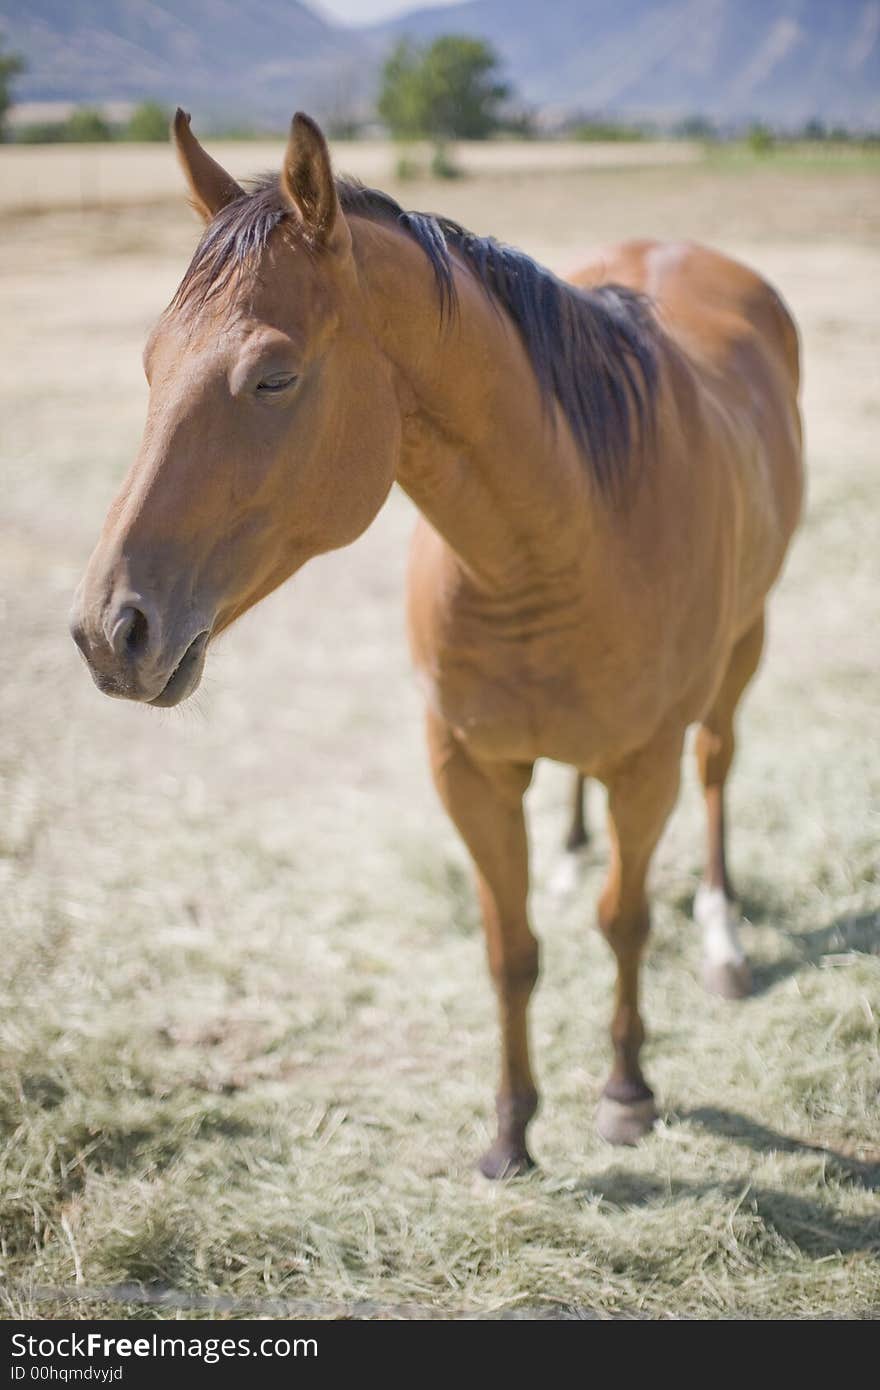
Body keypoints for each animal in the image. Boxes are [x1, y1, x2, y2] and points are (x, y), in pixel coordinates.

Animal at [70, 111, 800, 1173]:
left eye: (274, 376)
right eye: (151, 364)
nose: (108, 631)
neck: (561, 541)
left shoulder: (643, 766)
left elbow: (623, 922)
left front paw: (626, 1092)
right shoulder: (467, 768)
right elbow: (511, 950)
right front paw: (510, 1130)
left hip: (742, 651)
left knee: (717, 769)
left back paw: (723, 942)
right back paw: (573, 853)